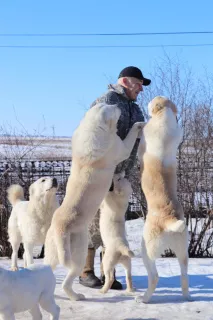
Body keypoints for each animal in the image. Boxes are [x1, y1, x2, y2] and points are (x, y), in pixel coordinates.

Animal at [43, 104, 143, 302]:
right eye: (112, 109)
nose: (118, 105)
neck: (93, 128)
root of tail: (60, 228)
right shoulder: (121, 148)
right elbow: (129, 137)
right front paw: (140, 124)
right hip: (79, 253)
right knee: (68, 281)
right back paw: (77, 296)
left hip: (52, 254)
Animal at [136, 96, 192, 304]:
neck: (164, 118)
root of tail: (171, 222)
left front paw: (140, 124)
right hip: (183, 250)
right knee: (184, 275)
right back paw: (187, 297)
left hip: (146, 248)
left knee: (154, 276)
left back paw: (143, 299)